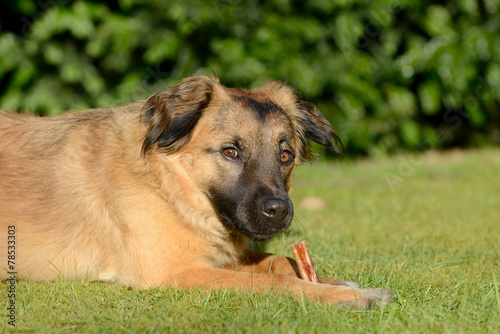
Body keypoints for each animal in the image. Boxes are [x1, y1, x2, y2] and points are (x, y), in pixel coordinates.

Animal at [0, 75, 390, 308]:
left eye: (286, 155)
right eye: (230, 152)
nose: (279, 211)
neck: (167, 188)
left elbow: (279, 261)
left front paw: (336, 282)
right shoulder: (173, 271)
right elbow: (272, 283)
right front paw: (343, 295)